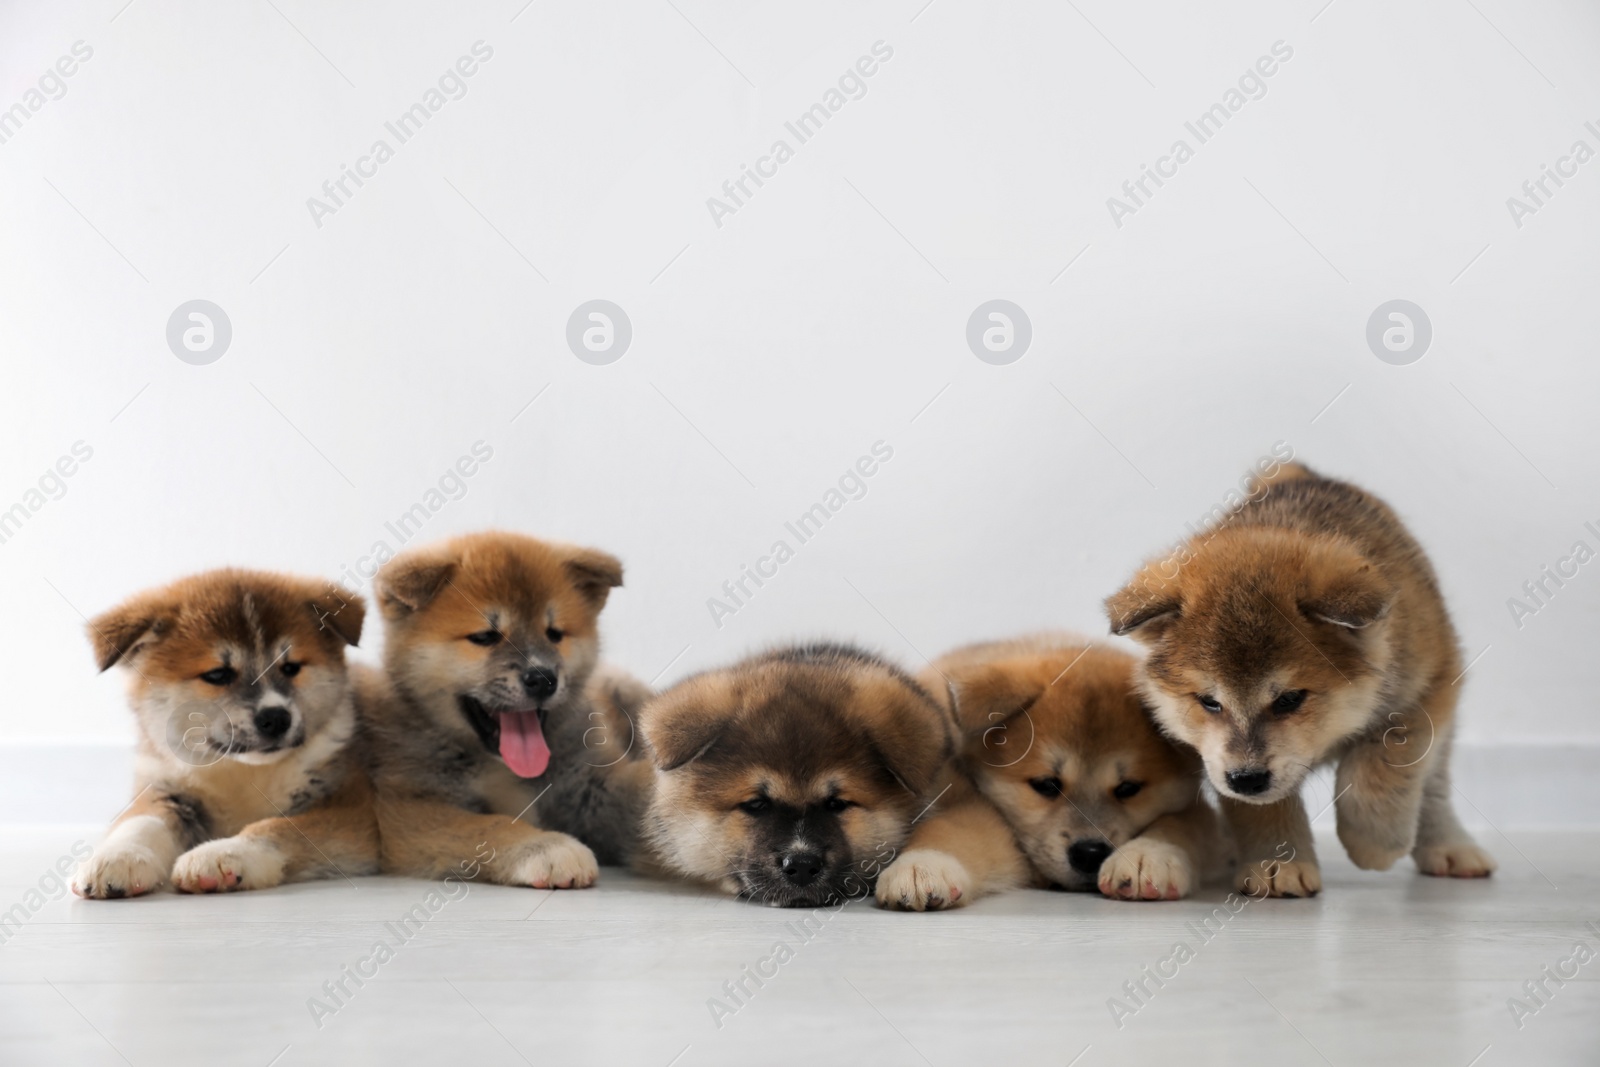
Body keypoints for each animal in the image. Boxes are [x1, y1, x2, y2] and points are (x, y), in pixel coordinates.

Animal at [75, 572, 377, 895]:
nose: (276, 717)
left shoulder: (353, 808)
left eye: (290, 667)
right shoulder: (166, 791)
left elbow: (280, 826)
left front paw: (225, 853)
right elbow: (140, 823)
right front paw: (119, 856)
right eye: (218, 675)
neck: (242, 773)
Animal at [360, 531, 652, 889]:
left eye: (554, 634)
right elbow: (490, 825)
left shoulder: (589, 783)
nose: (543, 679)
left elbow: (641, 790)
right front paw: (547, 846)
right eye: (486, 636)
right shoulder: (412, 810)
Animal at [921, 633, 1228, 902]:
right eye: (1046, 785)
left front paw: (1149, 854)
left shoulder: (1199, 812)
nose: (1090, 853)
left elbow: (1181, 824)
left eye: (1128, 788)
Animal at [1107, 463, 1491, 895]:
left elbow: (1381, 768)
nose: (1246, 779)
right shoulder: (1220, 759)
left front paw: (1373, 842)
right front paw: (1277, 863)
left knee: (1434, 784)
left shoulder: (1425, 690)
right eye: (1209, 701)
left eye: (1290, 699)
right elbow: (1263, 809)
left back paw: (1449, 845)